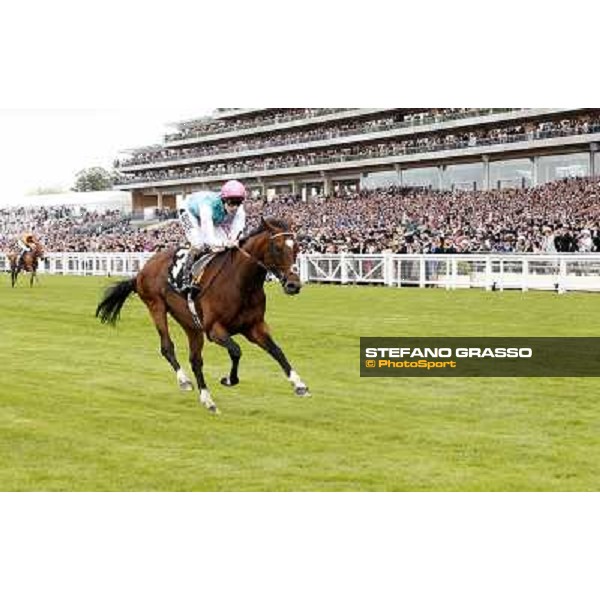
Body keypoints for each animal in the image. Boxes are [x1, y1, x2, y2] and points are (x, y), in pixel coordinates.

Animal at [96, 218, 310, 414]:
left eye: (297, 248)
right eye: (277, 247)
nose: (293, 285)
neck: (241, 283)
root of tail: (141, 271)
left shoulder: (254, 327)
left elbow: (277, 351)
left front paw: (299, 384)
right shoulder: (214, 330)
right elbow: (236, 351)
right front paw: (229, 379)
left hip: (191, 325)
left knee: (195, 360)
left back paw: (208, 400)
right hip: (156, 306)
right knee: (167, 347)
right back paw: (184, 381)